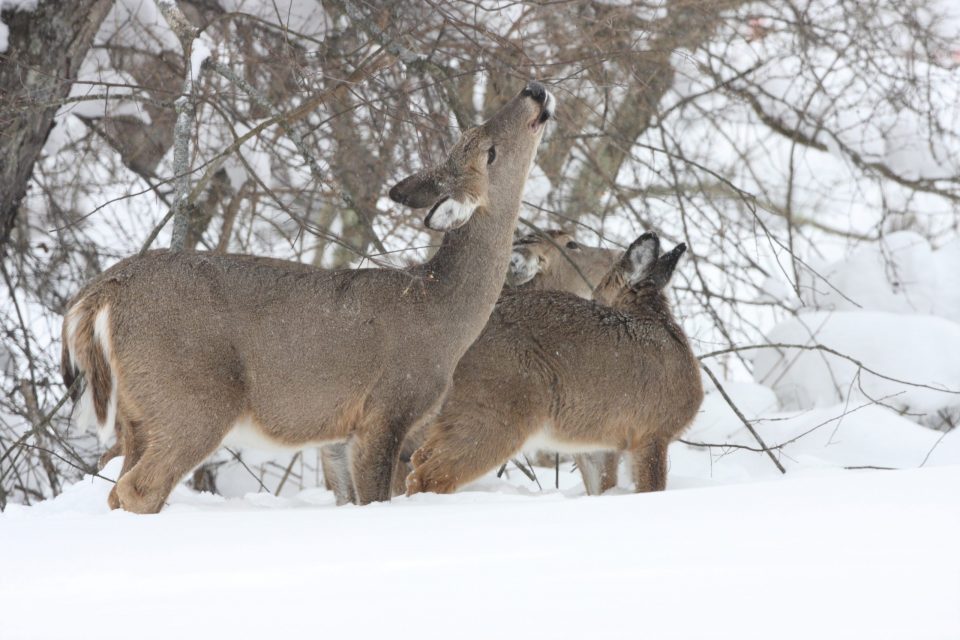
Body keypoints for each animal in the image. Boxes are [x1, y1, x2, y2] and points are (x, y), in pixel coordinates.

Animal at [62, 80, 556, 512]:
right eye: (489, 151)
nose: (533, 91)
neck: (442, 310)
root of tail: (99, 292)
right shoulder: (387, 407)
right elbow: (376, 498)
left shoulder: (338, 434)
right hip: (191, 396)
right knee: (138, 489)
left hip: (138, 413)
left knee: (115, 484)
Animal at [406, 232, 704, 498]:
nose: (595, 298)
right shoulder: (653, 432)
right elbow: (651, 489)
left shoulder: (600, 445)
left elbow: (601, 488)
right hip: (496, 413)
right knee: (432, 476)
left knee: (419, 461)